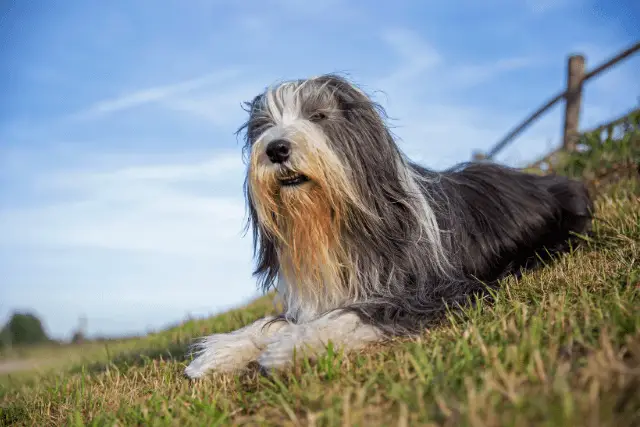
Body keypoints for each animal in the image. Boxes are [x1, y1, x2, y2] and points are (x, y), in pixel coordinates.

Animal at [182, 75, 592, 380]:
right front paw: (220, 352)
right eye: (264, 127)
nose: (276, 149)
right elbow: (273, 321)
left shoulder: (438, 291)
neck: (338, 224)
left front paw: (289, 349)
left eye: (319, 116)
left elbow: (358, 313)